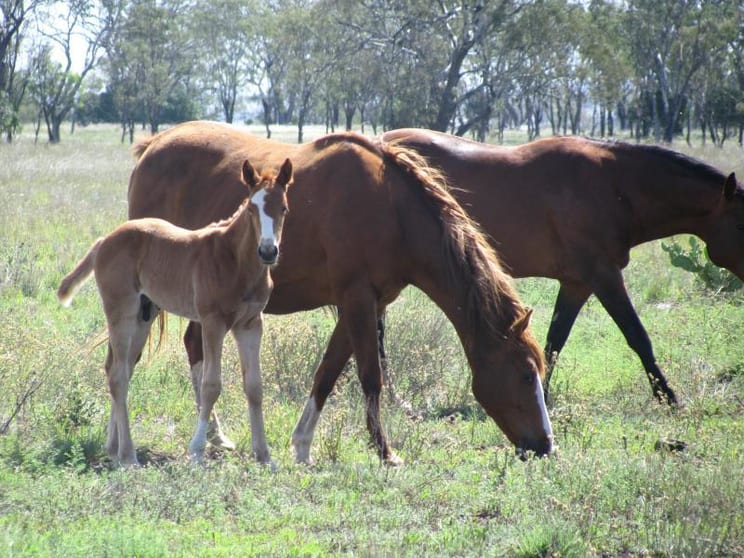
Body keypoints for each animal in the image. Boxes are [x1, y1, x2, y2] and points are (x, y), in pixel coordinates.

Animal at [58, 158, 293, 467]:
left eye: (283, 208)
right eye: (251, 208)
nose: (268, 251)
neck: (235, 260)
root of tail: (104, 240)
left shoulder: (250, 324)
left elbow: (254, 387)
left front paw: (264, 455)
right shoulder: (212, 322)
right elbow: (211, 385)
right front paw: (197, 450)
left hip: (143, 316)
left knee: (119, 368)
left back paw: (112, 447)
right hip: (121, 310)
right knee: (118, 375)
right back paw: (128, 455)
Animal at [126, 120, 554, 465]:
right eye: (524, 374)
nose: (546, 445)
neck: (390, 208)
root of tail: (154, 145)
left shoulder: (363, 304)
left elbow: (327, 373)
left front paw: (302, 444)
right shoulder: (358, 300)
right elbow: (370, 376)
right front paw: (385, 451)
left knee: (193, 344)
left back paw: (216, 434)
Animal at [382, 128, 744, 406]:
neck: (613, 186)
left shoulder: (576, 284)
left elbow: (555, 341)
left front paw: (540, 391)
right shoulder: (604, 276)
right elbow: (637, 335)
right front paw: (668, 397)